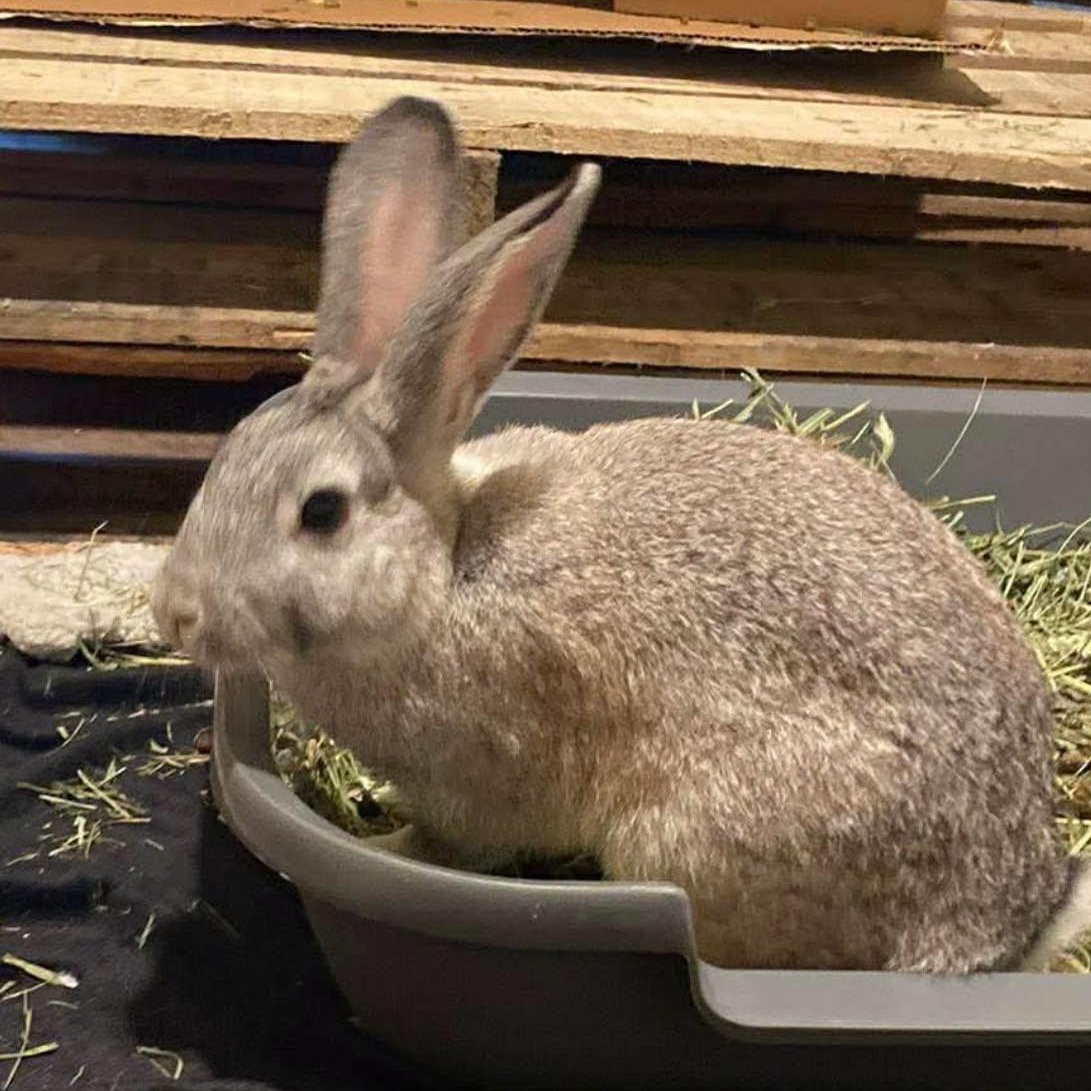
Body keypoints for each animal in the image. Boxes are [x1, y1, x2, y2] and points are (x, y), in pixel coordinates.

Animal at [152, 95, 1091, 973]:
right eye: (225, 453)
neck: (442, 568)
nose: (174, 612)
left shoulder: (478, 782)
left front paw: (380, 843)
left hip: (694, 841)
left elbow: (455, 843)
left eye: (323, 512)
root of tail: (1009, 927)